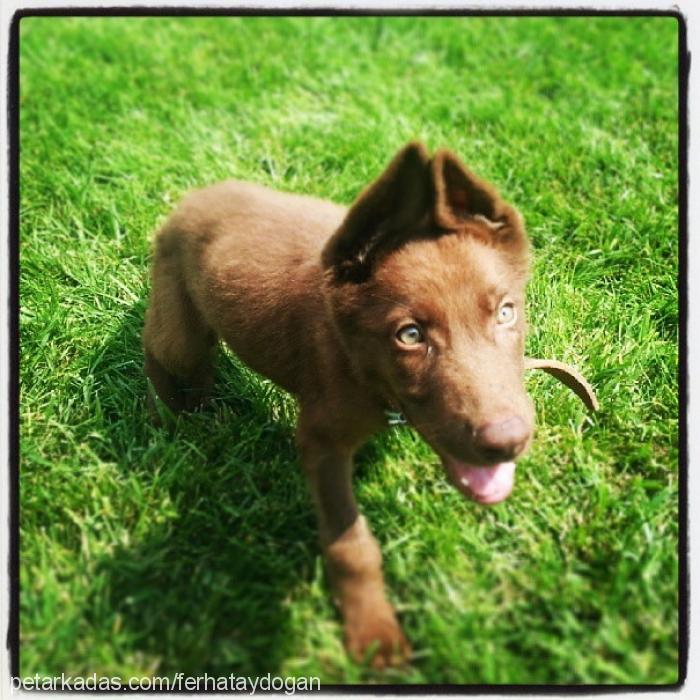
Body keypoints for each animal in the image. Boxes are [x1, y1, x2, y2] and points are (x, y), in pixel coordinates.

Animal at [142, 141, 596, 668]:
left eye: (506, 312)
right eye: (410, 335)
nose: (508, 442)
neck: (364, 368)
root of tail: (197, 194)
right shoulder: (320, 440)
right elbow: (350, 544)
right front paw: (374, 633)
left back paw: (208, 409)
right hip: (178, 321)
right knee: (160, 350)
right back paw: (170, 416)